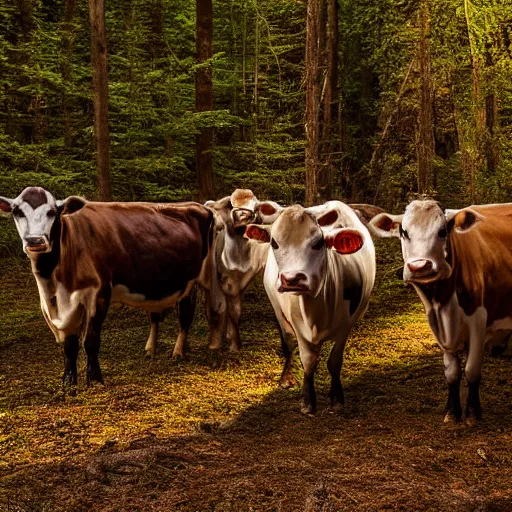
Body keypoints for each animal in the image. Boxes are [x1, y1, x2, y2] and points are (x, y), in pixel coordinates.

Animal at [0, 187, 221, 388]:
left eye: (52, 212)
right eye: (17, 212)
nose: (35, 241)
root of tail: (198, 205)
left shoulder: (99, 294)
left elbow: (90, 340)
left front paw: (95, 380)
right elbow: (70, 345)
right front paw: (68, 382)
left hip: (201, 277)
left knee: (191, 313)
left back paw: (182, 350)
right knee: (161, 315)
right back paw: (157, 349)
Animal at [205, 188, 284, 352]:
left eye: (255, 207)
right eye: (230, 205)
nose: (243, 215)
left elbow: (235, 311)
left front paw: (234, 343)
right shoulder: (222, 280)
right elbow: (219, 308)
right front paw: (218, 344)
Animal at [244, 200, 376, 412]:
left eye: (318, 243)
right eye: (274, 243)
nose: (292, 279)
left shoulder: (345, 325)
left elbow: (334, 361)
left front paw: (336, 397)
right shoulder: (297, 325)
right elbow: (307, 361)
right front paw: (307, 401)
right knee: (287, 344)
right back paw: (286, 378)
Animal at [370, 200, 512, 424]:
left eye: (442, 231)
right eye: (404, 232)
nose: (419, 266)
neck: (443, 301)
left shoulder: (478, 319)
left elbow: (472, 369)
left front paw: (473, 413)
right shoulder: (437, 325)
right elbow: (451, 372)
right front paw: (452, 411)